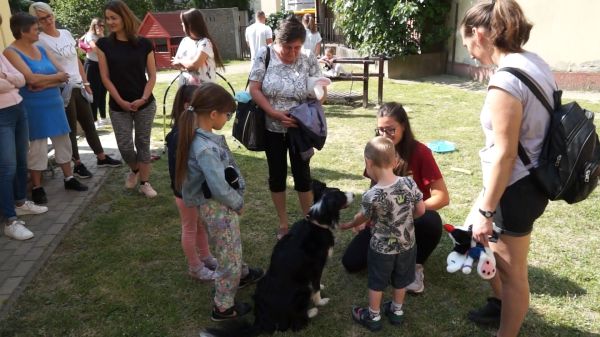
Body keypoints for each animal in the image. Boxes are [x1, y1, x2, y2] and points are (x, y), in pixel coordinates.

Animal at [203, 181, 352, 336]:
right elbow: (316, 287)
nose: (354, 194)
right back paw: (313, 311)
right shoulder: (317, 266)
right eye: (341, 195)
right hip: (301, 291)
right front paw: (321, 301)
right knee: (296, 323)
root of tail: (261, 318)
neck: (317, 222)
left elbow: (316, 284)